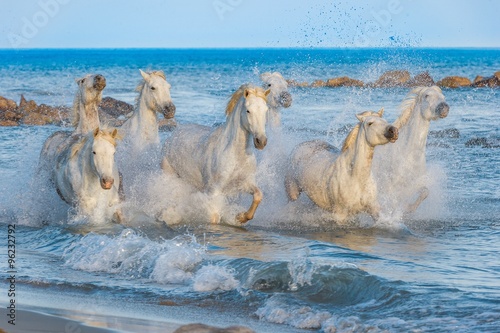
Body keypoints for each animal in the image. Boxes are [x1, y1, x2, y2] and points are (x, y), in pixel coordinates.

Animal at [160, 83, 270, 223]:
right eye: (248, 111)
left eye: (266, 110)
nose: (261, 141)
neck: (236, 154)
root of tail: (173, 135)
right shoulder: (214, 191)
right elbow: (214, 217)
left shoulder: (244, 183)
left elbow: (258, 195)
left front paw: (240, 217)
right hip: (169, 174)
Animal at [376, 85, 450, 214]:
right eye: (427, 95)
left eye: (443, 97)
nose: (444, 108)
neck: (408, 155)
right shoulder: (389, 188)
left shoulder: (414, 184)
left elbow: (425, 192)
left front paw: (408, 208)